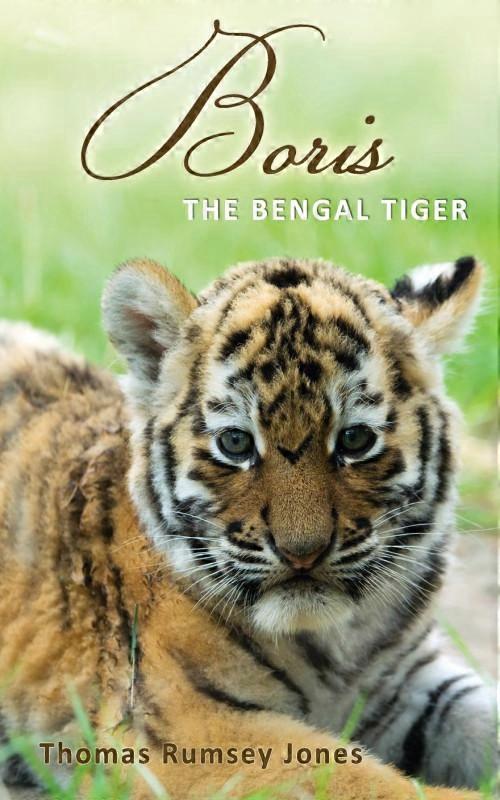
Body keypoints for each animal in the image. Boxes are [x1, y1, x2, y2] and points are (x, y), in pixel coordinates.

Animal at [0, 255, 495, 800]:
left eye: (356, 440)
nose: (303, 553)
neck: (336, 646)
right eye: (235, 443)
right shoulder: (189, 725)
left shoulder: (407, 679)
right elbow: (367, 780)